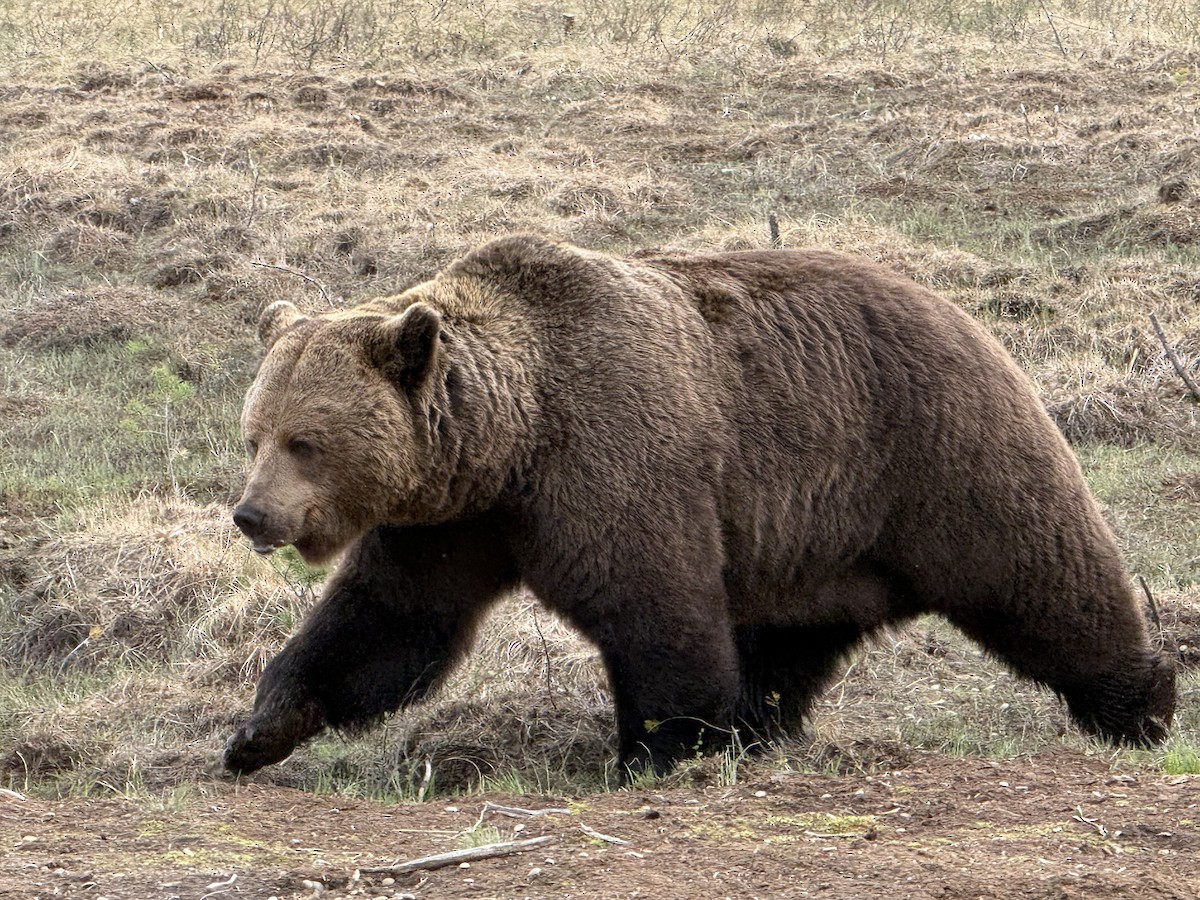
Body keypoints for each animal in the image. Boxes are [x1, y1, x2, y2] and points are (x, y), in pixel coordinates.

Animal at [224, 234, 1176, 778]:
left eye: (307, 440)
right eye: (254, 433)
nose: (253, 516)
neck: (513, 441)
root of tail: (963, 314)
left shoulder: (612, 461)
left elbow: (656, 608)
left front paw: (660, 747)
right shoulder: (457, 522)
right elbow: (387, 623)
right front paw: (258, 729)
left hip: (937, 455)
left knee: (1038, 577)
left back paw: (1141, 703)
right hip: (818, 539)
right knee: (788, 641)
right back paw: (759, 726)